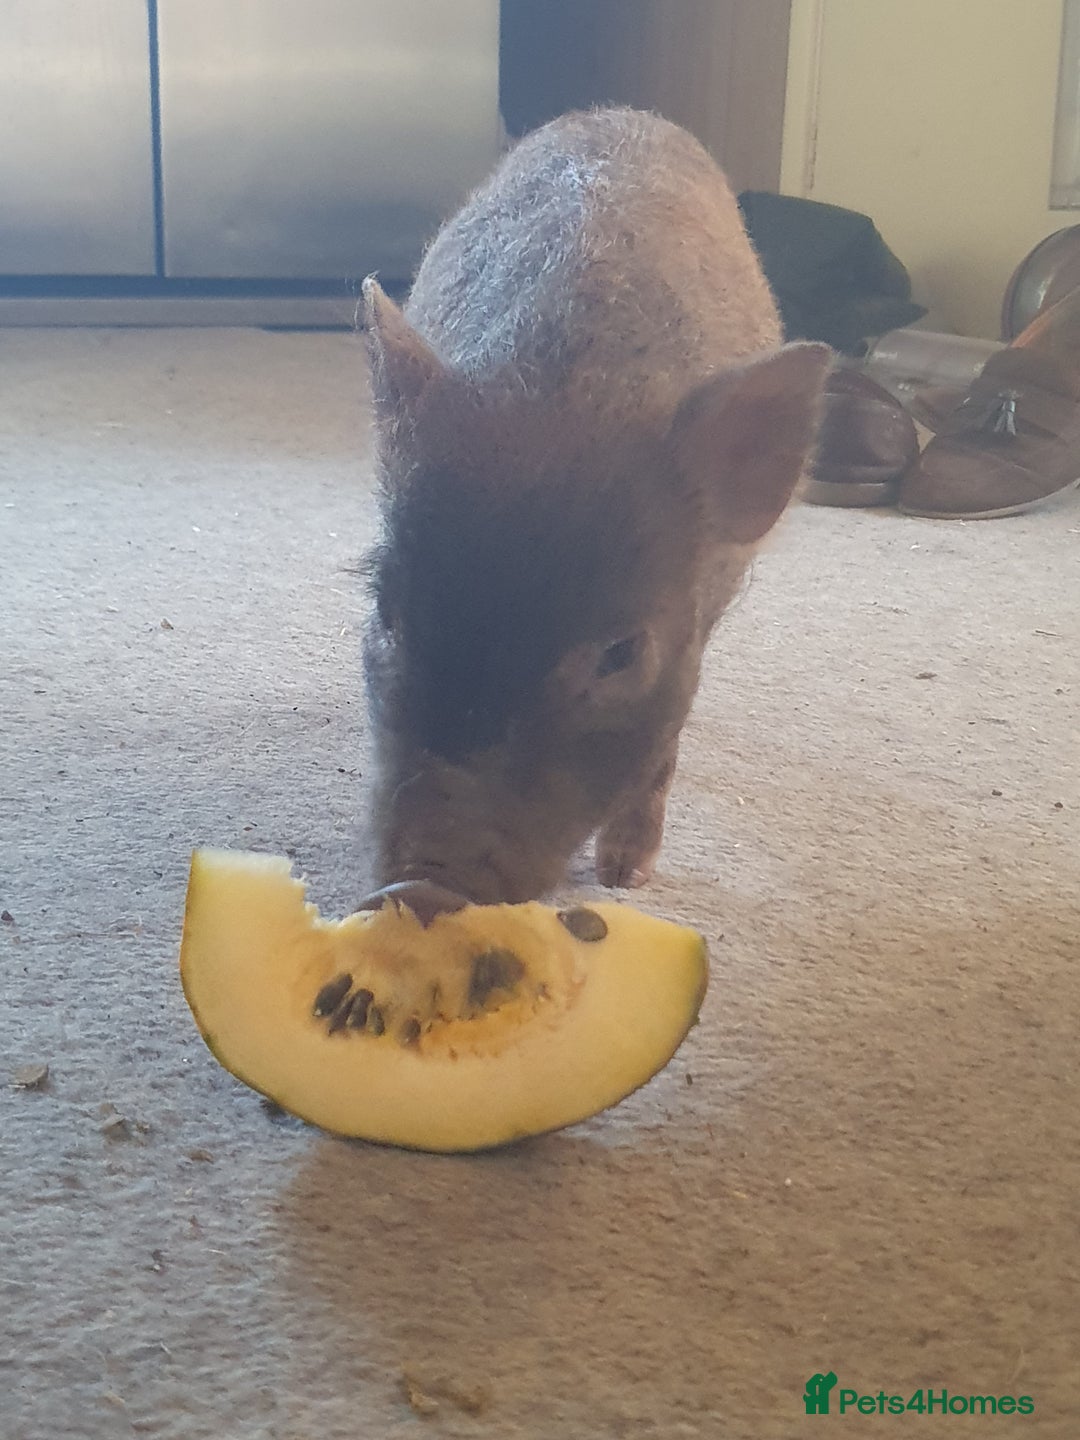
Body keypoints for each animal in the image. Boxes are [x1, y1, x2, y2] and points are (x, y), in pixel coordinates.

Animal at [360, 106, 831, 905]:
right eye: (390, 615)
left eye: (621, 654)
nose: (425, 885)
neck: (569, 392)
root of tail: (618, 111)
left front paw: (626, 879)